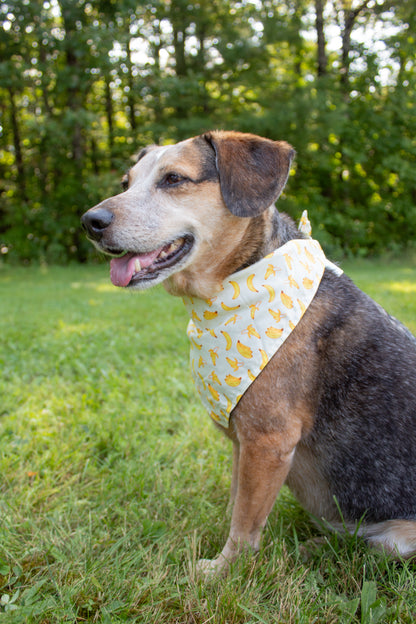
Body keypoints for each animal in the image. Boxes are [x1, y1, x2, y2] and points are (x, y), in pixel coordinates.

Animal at [81, 130, 416, 576]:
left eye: (173, 179)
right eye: (125, 183)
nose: (90, 222)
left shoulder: (266, 442)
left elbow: (244, 523)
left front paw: (221, 573)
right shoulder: (243, 442)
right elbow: (237, 505)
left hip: (399, 541)